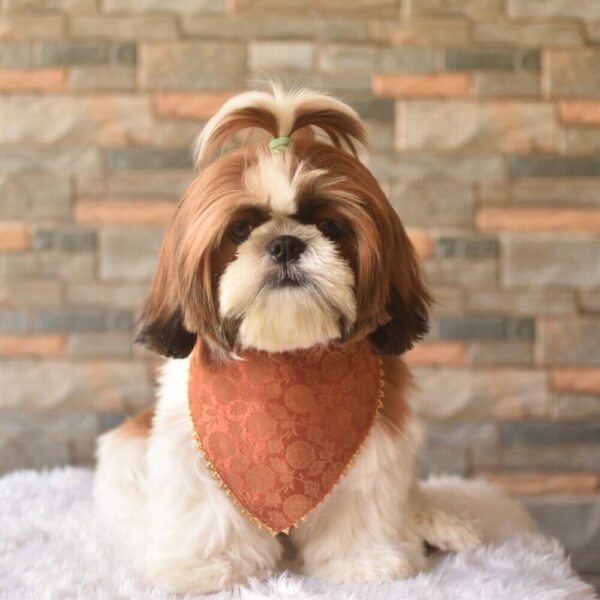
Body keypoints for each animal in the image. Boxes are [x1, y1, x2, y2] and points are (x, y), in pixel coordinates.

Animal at [94, 86, 480, 592]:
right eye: (240, 229)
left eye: (331, 227)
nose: (285, 244)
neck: (286, 359)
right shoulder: (195, 453)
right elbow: (208, 512)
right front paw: (206, 567)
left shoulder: (375, 450)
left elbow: (361, 508)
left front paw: (366, 562)